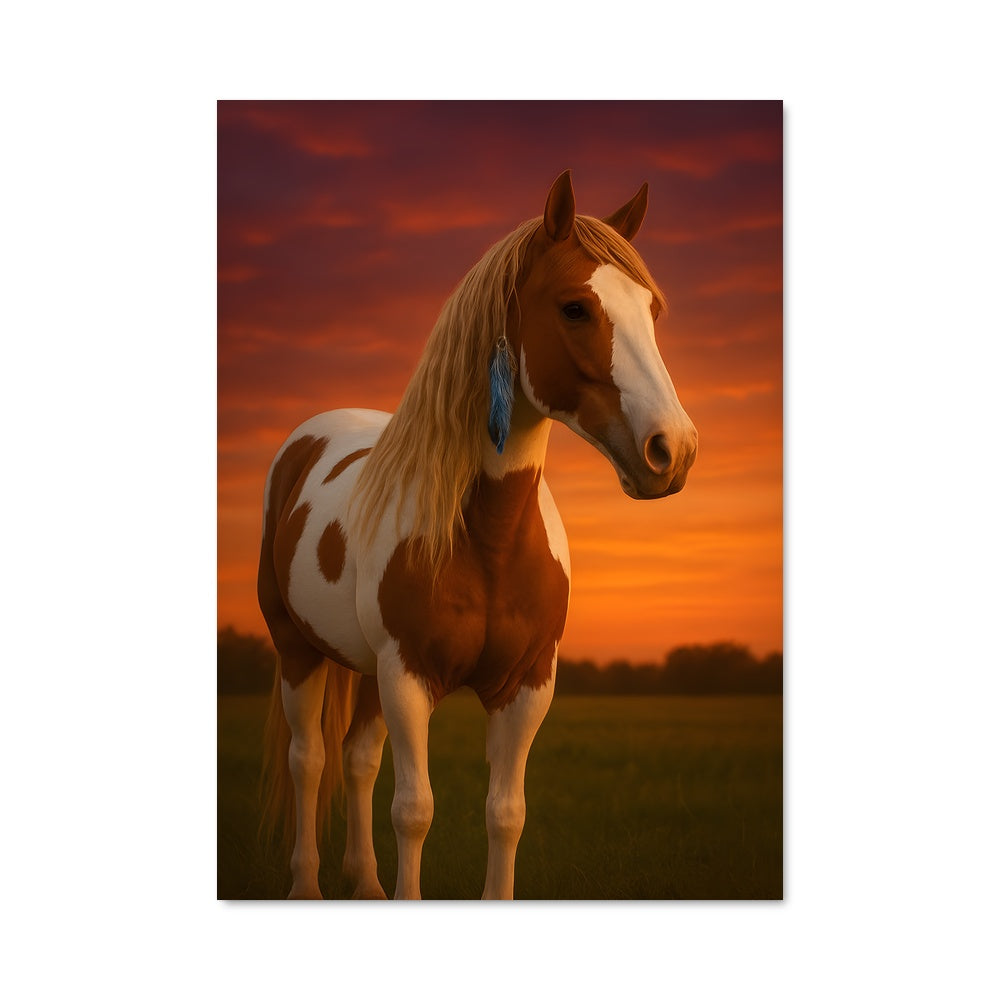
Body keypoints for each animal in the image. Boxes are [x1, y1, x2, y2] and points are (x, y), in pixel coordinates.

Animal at [256, 170, 698, 899]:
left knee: (357, 759)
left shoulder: (526, 686)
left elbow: (505, 813)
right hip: (299, 650)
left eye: (653, 311)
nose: (674, 450)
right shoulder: (408, 676)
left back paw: (366, 884)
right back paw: (306, 888)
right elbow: (414, 811)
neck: (486, 537)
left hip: (366, 671)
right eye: (575, 308)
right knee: (309, 761)